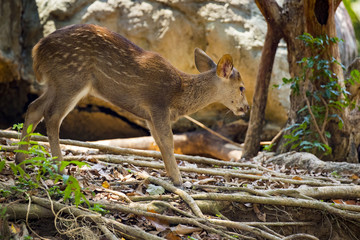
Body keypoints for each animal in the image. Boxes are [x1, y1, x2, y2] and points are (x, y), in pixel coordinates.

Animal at [14, 23, 250, 186]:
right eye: (241, 87)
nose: (246, 108)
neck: (179, 94)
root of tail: (37, 51)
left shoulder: (149, 115)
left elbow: (159, 142)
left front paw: (171, 176)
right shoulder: (157, 105)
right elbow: (168, 141)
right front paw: (179, 180)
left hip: (57, 82)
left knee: (34, 108)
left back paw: (20, 160)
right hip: (72, 77)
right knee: (52, 115)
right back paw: (59, 168)